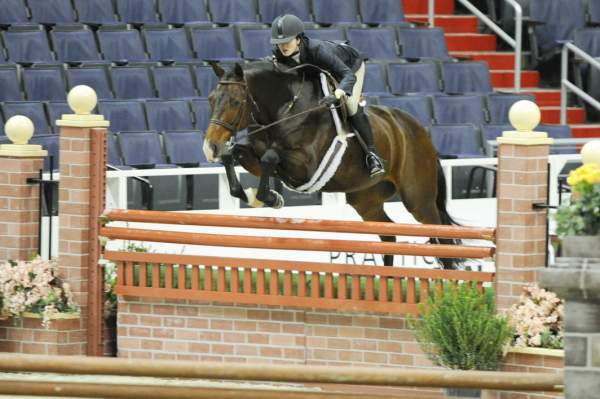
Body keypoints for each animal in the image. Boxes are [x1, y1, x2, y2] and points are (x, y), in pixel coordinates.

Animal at [202, 61, 460, 268]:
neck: (286, 110)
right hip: (366, 200)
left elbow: (270, 158)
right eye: (211, 99)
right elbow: (235, 155)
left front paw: (270, 198)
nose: (210, 147)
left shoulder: (306, 168)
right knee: (389, 237)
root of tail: (419, 130)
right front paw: (250, 194)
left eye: (235, 102)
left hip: (418, 199)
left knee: (442, 239)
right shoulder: (256, 156)